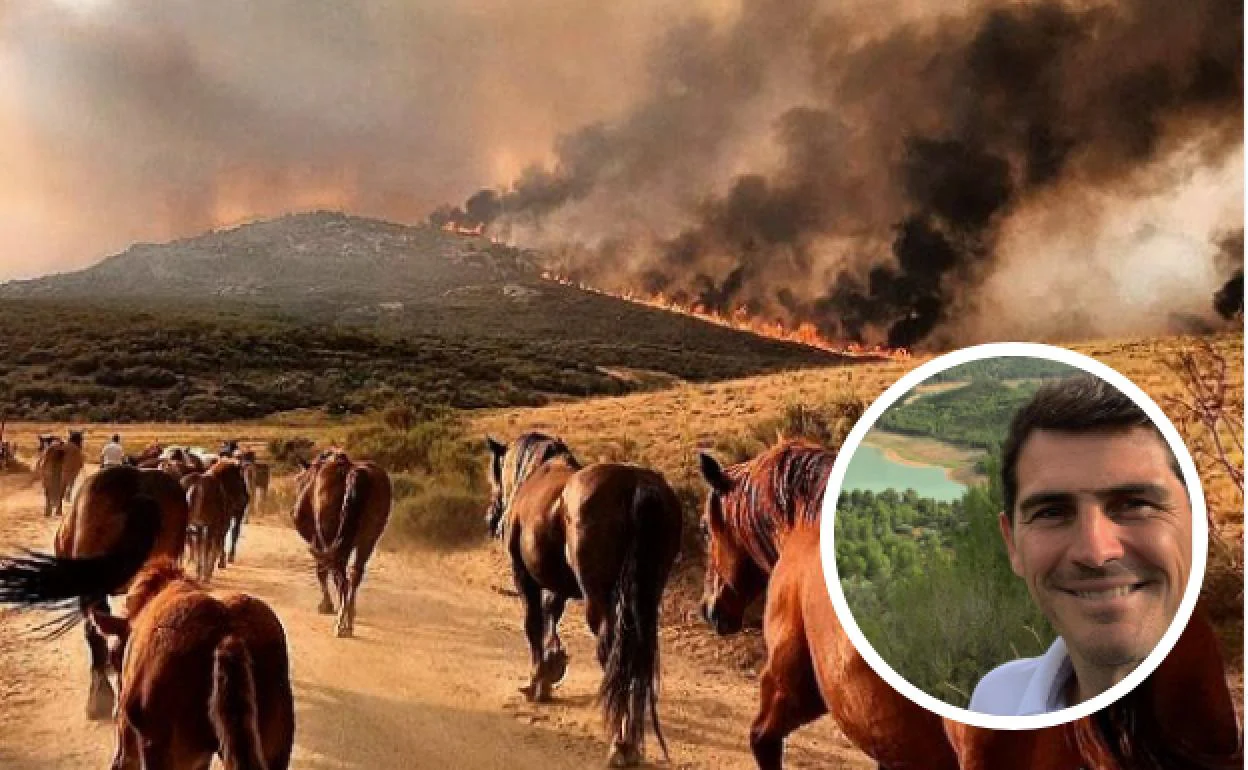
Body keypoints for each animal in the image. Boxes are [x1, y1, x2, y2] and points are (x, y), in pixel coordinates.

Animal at [292, 446, 389, 633]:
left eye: (300, 480)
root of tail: (354, 472)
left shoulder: (319, 541)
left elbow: (321, 571)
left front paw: (326, 605)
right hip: (367, 540)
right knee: (354, 573)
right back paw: (348, 618)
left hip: (331, 539)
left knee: (340, 576)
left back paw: (341, 624)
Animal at [486, 429, 683, 763]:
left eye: (494, 474)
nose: (491, 519)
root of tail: (637, 486)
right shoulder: (559, 586)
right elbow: (551, 615)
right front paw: (552, 667)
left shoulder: (525, 577)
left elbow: (533, 624)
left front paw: (536, 681)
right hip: (645, 600)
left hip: (599, 601)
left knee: (613, 654)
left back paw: (621, 742)